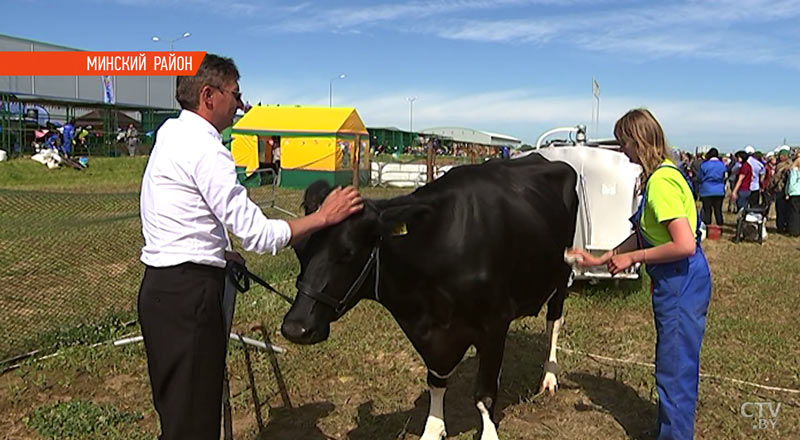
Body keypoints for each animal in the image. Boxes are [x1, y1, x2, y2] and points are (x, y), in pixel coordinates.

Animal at [284, 153, 580, 438]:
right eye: (298, 249)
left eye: (348, 253)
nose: (295, 328)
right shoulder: (427, 331)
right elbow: (436, 381)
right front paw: (433, 429)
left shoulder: (495, 321)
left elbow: (484, 394)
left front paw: (488, 433)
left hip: (562, 272)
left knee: (554, 322)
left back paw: (549, 377)